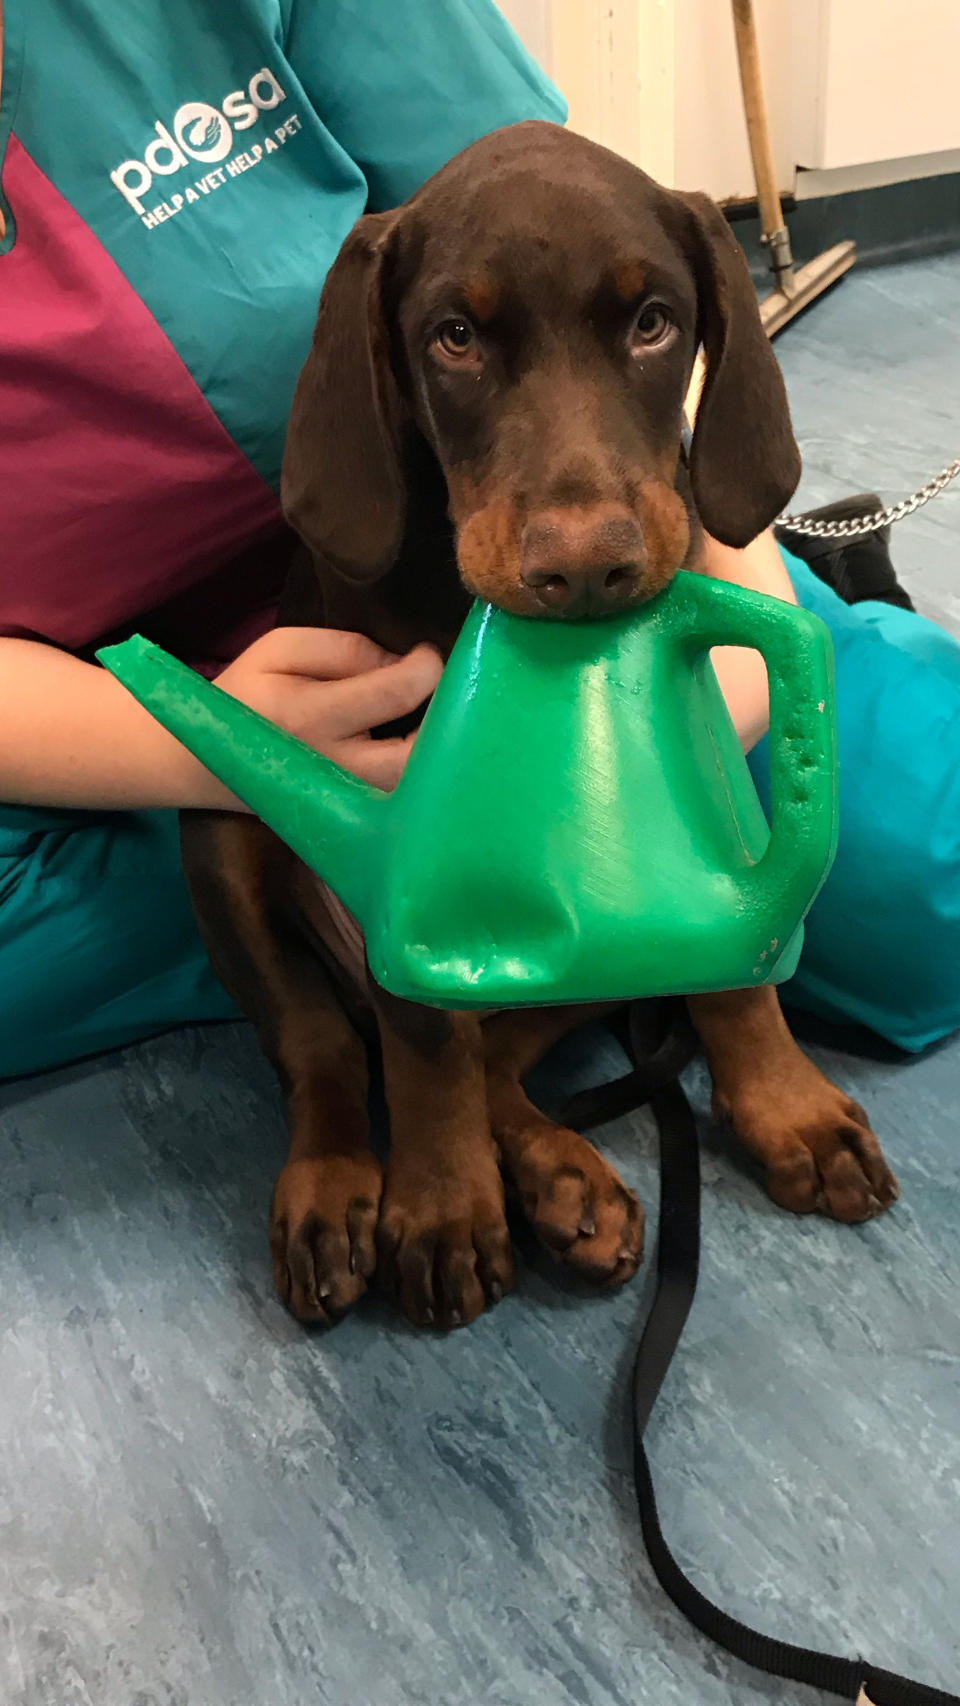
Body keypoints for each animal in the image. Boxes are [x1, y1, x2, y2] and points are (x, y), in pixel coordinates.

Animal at [182, 123, 900, 1330]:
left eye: (654, 322)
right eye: (455, 338)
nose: (585, 568)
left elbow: (734, 958)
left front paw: (785, 1101)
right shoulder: (401, 809)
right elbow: (422, 1029)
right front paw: (440, 1200)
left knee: (505, 1044)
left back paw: (565, 1180)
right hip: (221, 837)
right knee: (333, 1044)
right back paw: (344, 1190)